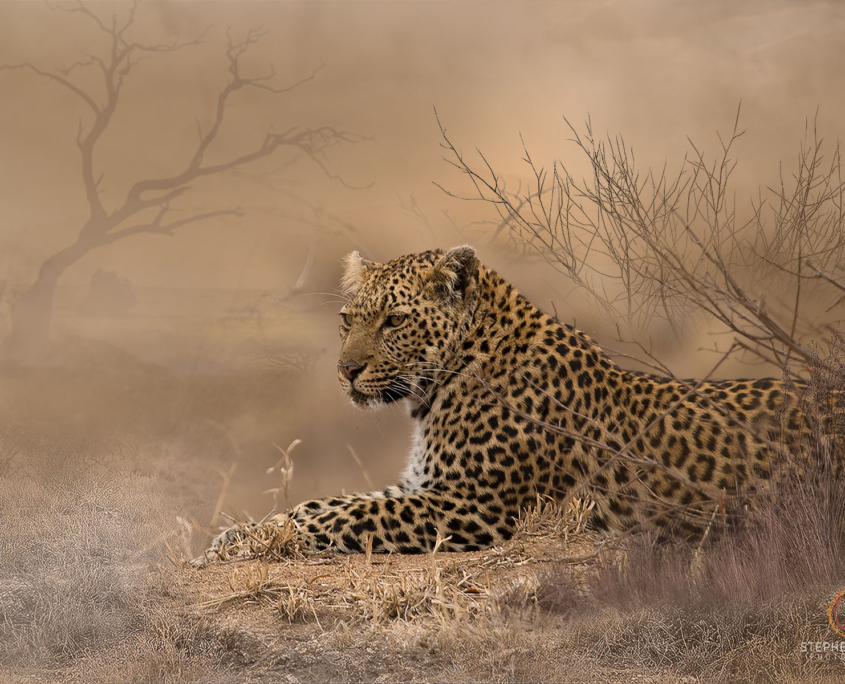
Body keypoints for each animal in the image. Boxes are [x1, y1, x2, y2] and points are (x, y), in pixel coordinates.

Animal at [210, 245, 830, 557]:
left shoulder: (472, 506)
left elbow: (340, 511)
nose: (347, 371)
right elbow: (330, 501)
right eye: (347, 320)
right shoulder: (421, 486)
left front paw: (251, 538)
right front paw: (244, 530)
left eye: (394, 321)